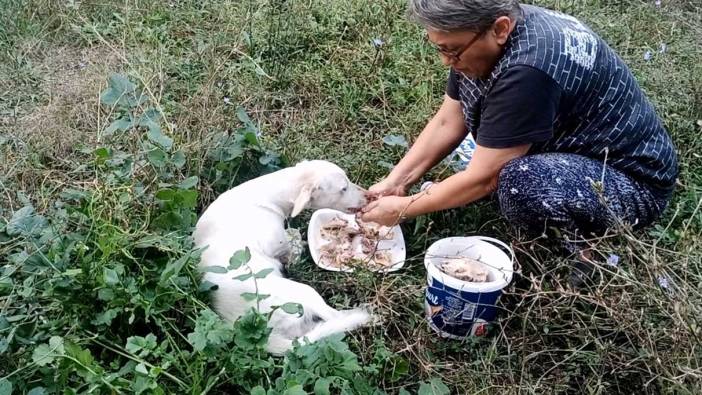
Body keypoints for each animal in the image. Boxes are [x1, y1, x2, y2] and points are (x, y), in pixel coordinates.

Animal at [192, 161, 374, 356]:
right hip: (306, 293)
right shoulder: (279, 246)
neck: (270, 195)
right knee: (335, 317)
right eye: (343, 188)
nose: (369, 195)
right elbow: (293, 244)